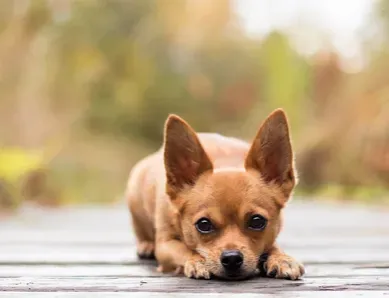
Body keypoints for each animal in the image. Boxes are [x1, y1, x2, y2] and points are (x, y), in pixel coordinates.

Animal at [126, 109, 304, 280]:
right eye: (203, 224)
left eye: (257, 221)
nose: (232, 258)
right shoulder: (165, 245)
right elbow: (185, 250)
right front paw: (197, 261)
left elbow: (273, 245)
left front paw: (282, 259)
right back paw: (147, 245)